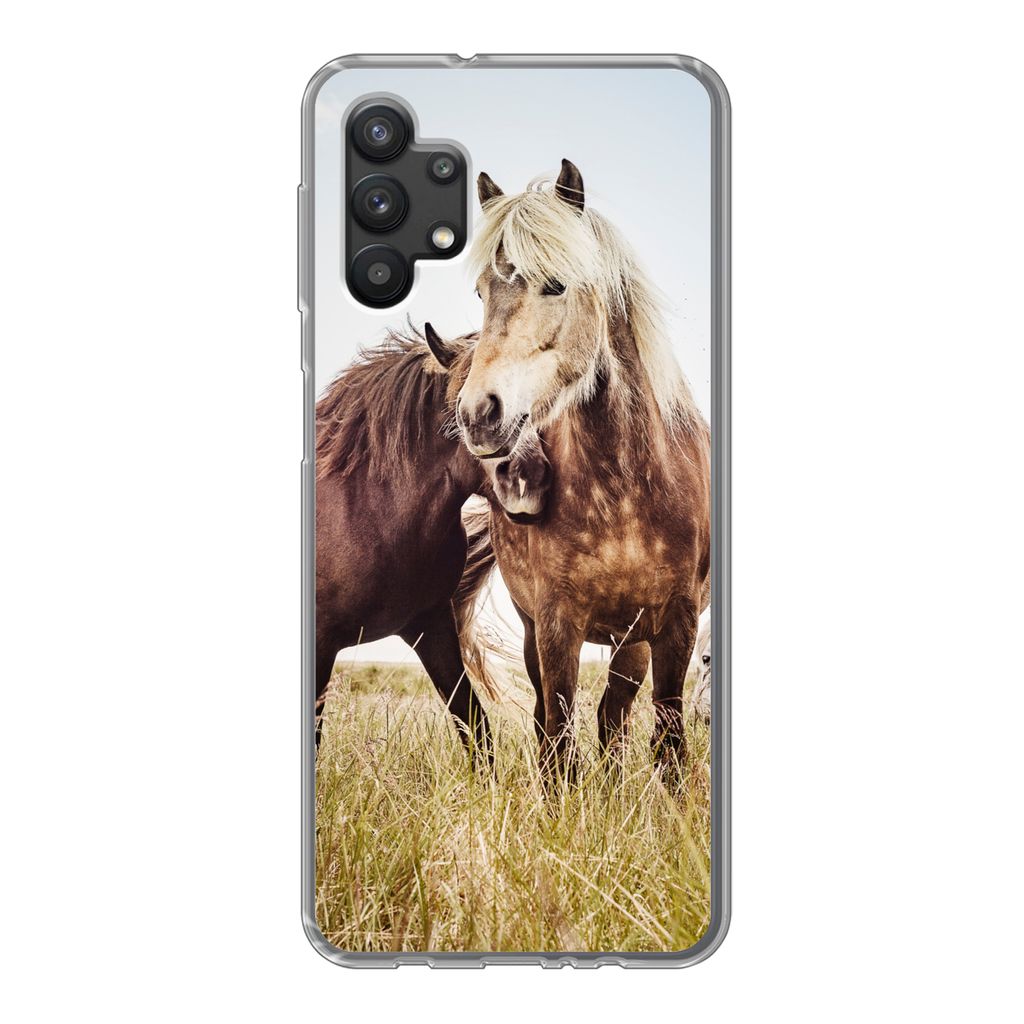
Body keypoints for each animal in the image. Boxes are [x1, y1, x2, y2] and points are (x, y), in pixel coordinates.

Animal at [434, 159, 712, 778]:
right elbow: (559, 741)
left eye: (556, 284)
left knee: (615, 716)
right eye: (481, 290)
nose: (478, 413)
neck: (625, 492)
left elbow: (669, 738)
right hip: (538, 629)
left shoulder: (677, 624)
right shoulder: (557, 624)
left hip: (633, 640)